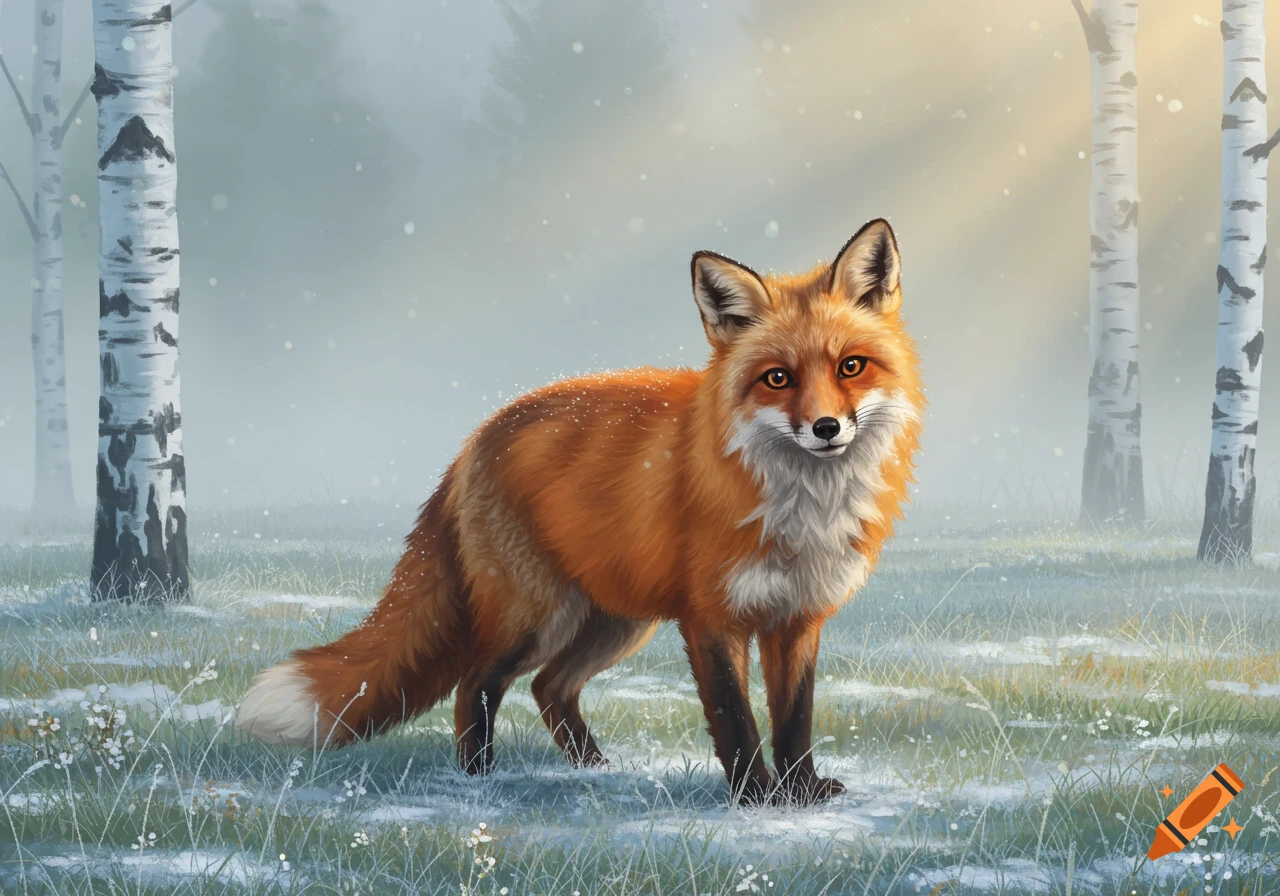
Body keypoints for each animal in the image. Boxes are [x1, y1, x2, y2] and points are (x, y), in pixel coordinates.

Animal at [235, 218, 924, 806]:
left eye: (851, 367)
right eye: (778, 378)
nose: (826, 428)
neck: (801, 509)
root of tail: (475, 439)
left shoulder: (798, 617)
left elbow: (795, 719)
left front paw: (800, 794)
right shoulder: (710, 619)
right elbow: (736, 720)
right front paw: (754, 798)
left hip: (614, 621)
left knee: (549, 686)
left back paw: (593, 769)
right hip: (538, 615)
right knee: (476, 684)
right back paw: (479, 779)